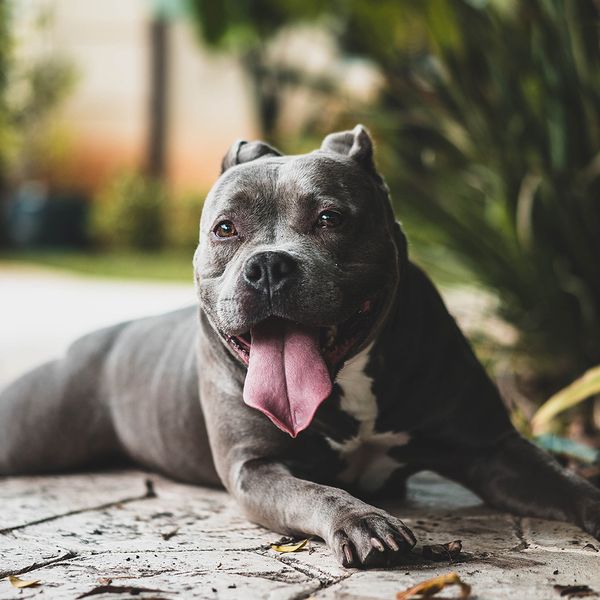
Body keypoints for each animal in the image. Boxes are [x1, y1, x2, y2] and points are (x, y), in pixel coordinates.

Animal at [1, 126, 600, 568]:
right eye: (225, 228)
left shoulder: (492, 449)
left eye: (330, 218)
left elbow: (564, 481)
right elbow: (314, 492)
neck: (349, 380)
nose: (268, 265)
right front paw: (362, 521)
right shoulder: (256, 468)